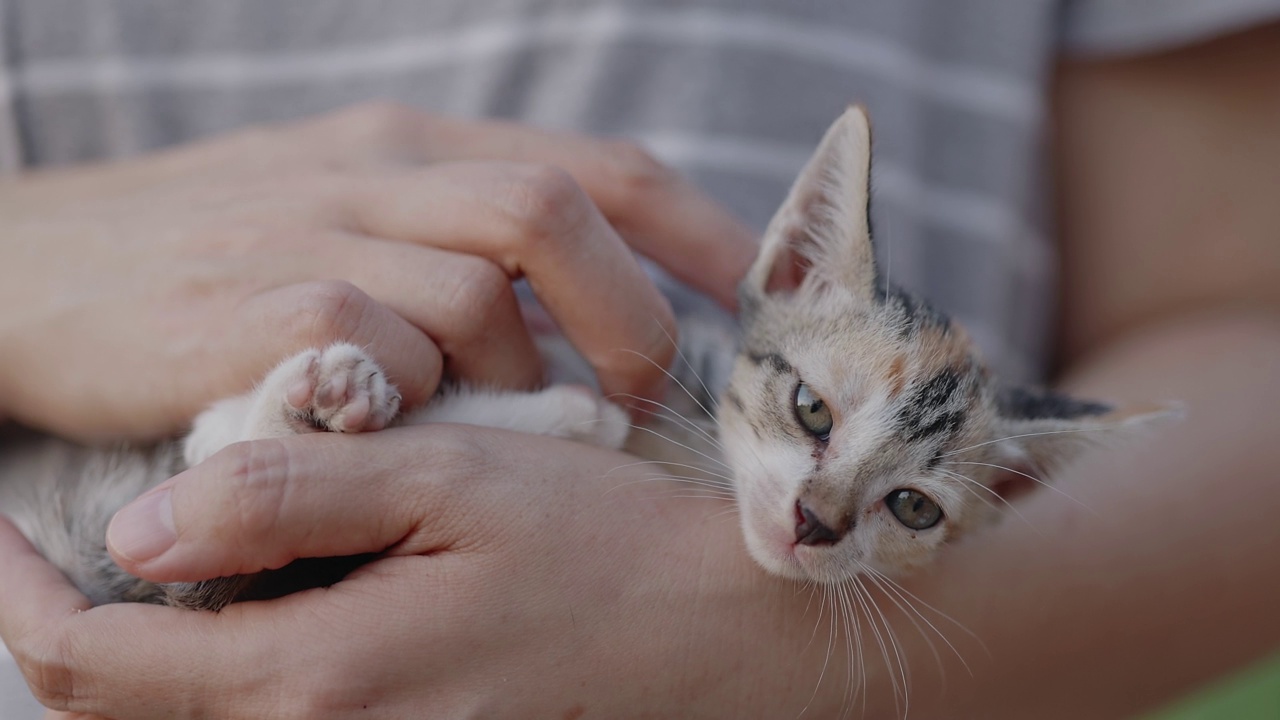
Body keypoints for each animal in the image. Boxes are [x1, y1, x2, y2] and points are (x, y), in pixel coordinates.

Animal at [0, 106, 1162, 607]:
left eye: (913, 508)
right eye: (811, 410)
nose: (815, 527)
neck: (684, 444)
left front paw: (570, 417)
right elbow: (199, 454)